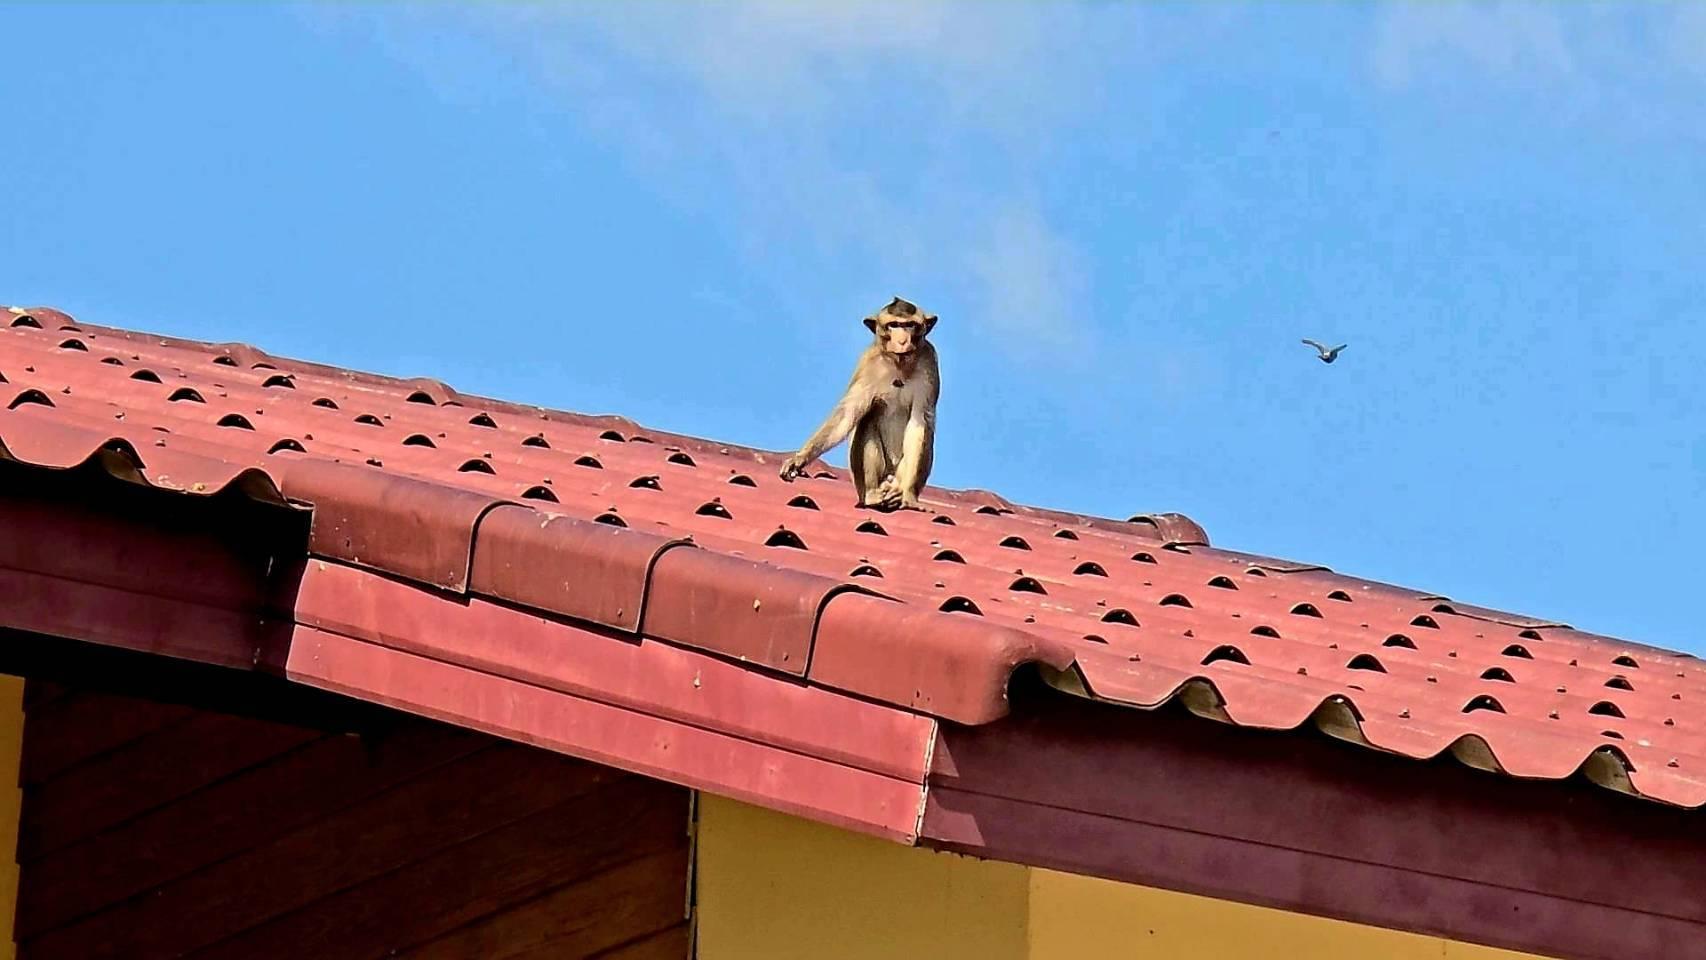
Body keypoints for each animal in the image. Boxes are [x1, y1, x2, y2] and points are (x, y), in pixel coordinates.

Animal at [781, 298, 941, 511]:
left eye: (910, 325)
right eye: (893, 325)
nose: (902, 341)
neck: (898, 363)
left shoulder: (929, 360)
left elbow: (920, 421)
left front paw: (909, 497)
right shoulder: (867, 362)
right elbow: (848, 414)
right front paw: (800, 459)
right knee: (866, 419)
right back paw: (873, 496)